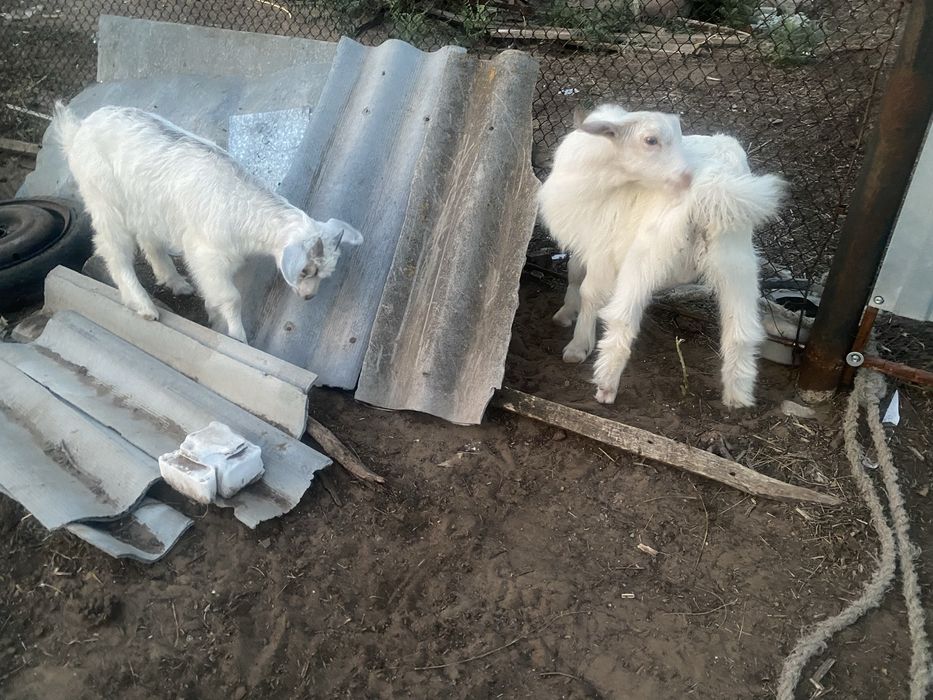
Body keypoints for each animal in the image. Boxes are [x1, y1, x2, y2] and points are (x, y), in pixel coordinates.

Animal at [51, 103, 363, 343]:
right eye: (306, 270)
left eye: (326, 273)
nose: (309, 297)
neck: (244, 210)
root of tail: (78, 129)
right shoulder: (206, 253)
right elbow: (232, 297)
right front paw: (237, 336)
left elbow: (217, 294)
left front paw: (214, 316)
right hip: (104, 199)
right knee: (114, 250)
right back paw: (143, 304)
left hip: (147, 206)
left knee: (150, 241)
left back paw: (176, 282)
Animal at [538, 104, 785, 408]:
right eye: (651, 140)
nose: (685, 177)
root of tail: (709, 185)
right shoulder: (592, 237)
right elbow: (574, 271)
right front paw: (566, 313)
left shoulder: (602, 243)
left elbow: (589, 291)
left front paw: (577, 345)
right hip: (735, 258)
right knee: (741, 330)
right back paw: (737, 396)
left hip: (645, 256)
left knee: (622, 320)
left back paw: (605, 386)